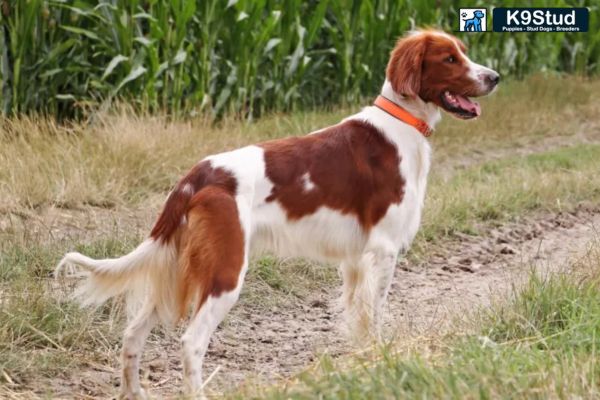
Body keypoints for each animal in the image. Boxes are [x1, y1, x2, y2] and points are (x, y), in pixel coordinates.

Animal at [56, 29, 496, 398]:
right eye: (450, 59)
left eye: (464, 52)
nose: (494, 77)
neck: (400, 123)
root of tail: (197, 177)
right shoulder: (383, 250)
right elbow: (375, 315)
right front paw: (380, 359)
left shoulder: (356, 261)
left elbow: (357, 317)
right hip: (226, 272)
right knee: (191, 342)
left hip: (177, 268)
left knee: (132, 335)